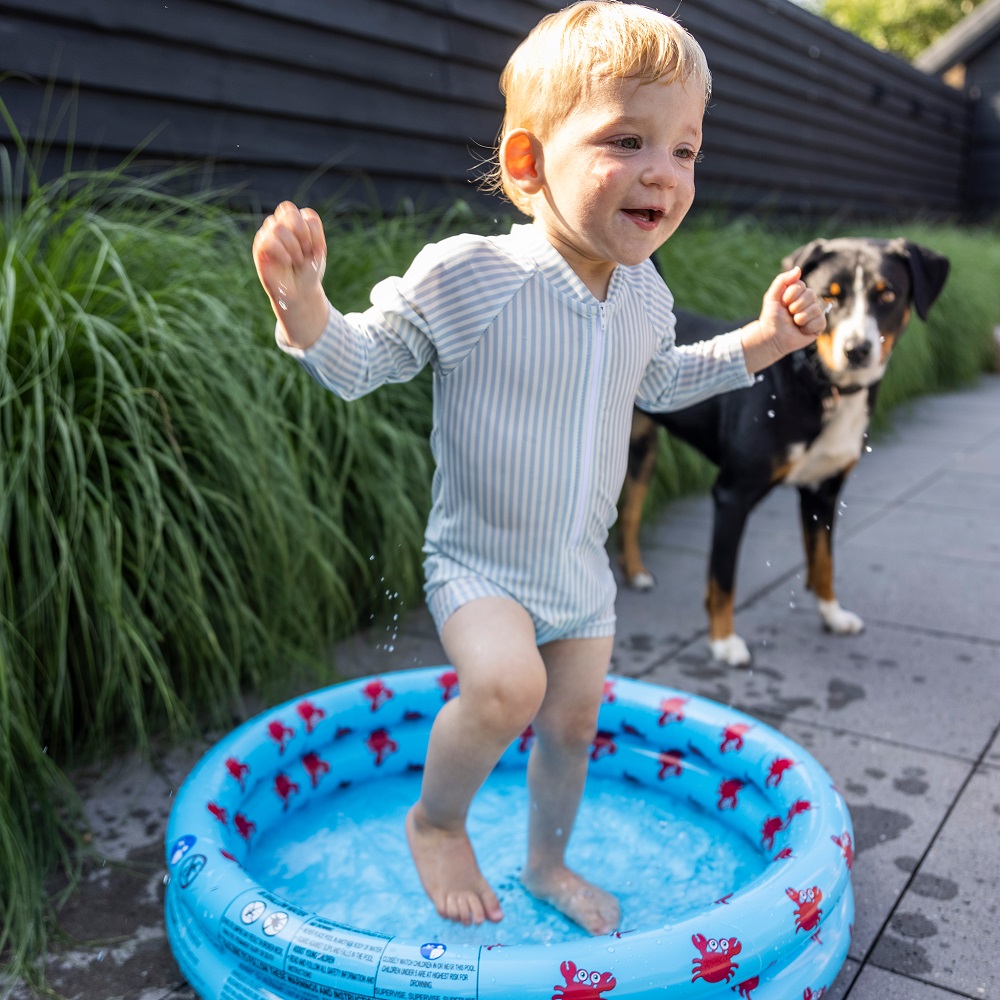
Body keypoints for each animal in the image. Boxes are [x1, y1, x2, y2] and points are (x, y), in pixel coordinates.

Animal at [620, 238, 948, 668]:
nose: (856, 350)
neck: (822, 387)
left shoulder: (823, 493)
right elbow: (722, 578)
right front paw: (723, 642)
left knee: (629, 513)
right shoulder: (733, 495)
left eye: (887, 295)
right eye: (829, 296)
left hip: (642, 452)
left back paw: (634, 572)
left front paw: (832, 615)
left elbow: (824, 561)